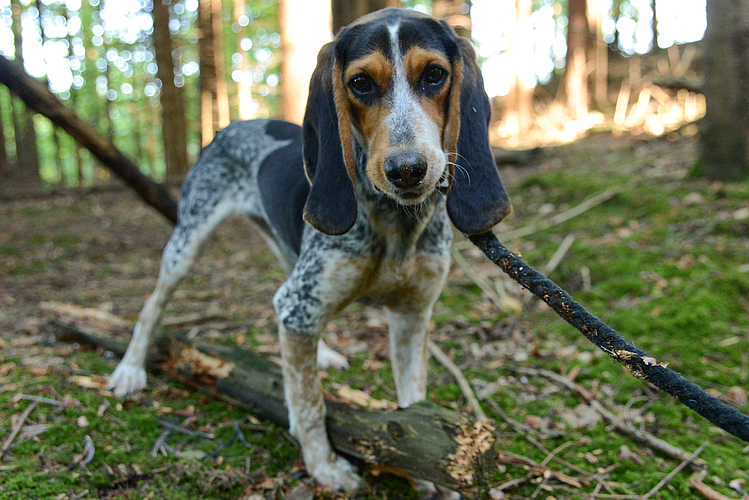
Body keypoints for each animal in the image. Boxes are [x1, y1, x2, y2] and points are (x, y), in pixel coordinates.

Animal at [109, 6, 508, 492]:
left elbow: (414, 402)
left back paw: (323, 352)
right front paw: (324, 466)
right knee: (153, 305)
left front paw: (433, 478)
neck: (397, 223)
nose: (407, 170)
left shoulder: (412, 316)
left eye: (434, 74)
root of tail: (232, 125)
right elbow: (309, 403)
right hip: (188, 243)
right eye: (361, 83)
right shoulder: (304, 304)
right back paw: (130, 369)